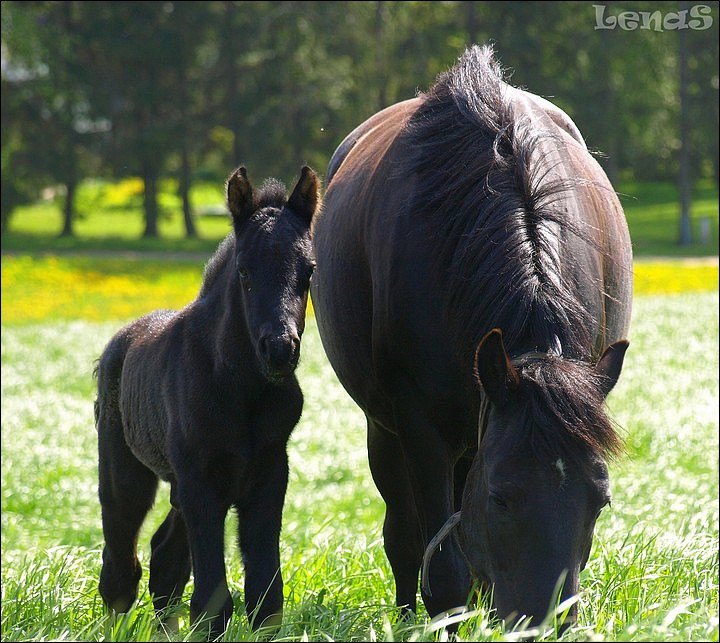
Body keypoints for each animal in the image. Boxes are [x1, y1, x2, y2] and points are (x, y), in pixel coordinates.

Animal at [312, 47, 632, 632]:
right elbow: (441, 568)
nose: (545, 621)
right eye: (502, 496)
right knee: (404, 536)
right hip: (385, 432)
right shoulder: (419, 429)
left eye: (600, 498)